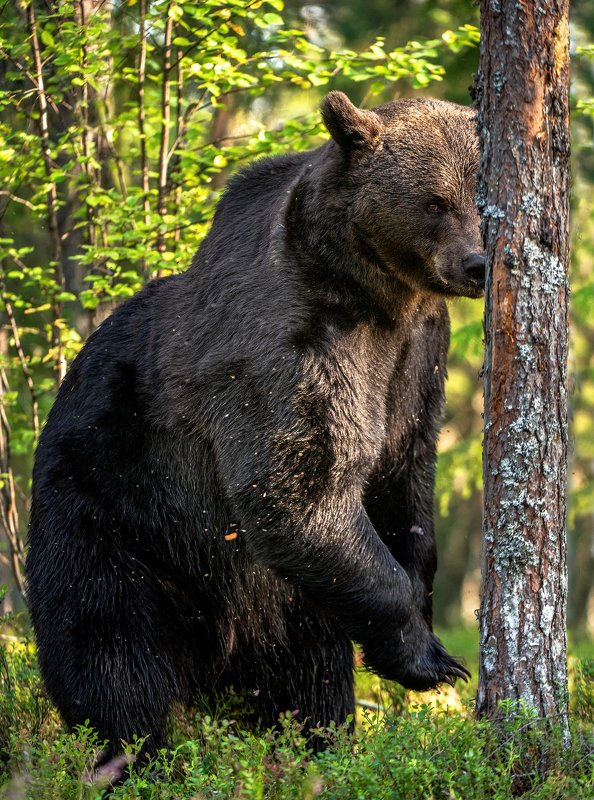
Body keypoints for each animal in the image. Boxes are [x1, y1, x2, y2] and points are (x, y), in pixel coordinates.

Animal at [26, 91, 483, 766]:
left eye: (481, 194)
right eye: (436, 202)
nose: (477, 264)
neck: (375, 294)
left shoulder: (416, 357)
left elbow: (403, 473)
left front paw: (425, 607)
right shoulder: (290, 343)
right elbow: (295, 486)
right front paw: (430, 658)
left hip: (280, 608)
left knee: (309, 677)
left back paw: (312, 746)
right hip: (112, 511)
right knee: (111, 652)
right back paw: (136, 757)